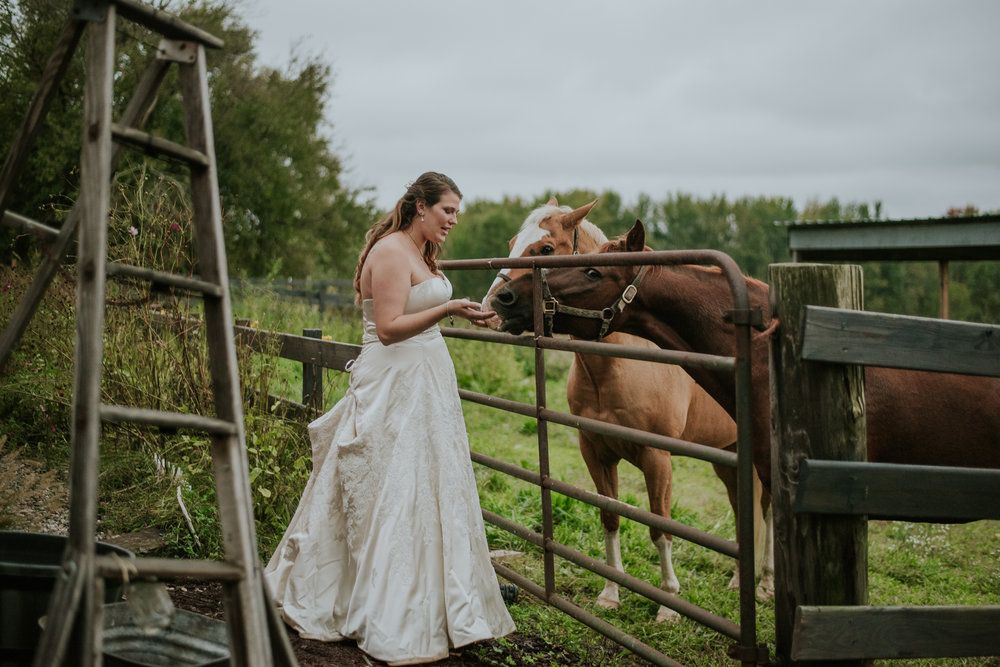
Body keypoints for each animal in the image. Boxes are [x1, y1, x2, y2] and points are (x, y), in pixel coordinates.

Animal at [482, 200, 772, 620]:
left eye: (546, 249)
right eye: (510, 243)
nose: (494, 306)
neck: (617, 366)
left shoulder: (657, 459)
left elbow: (661, 527)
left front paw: (668, 604)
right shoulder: (595, 452)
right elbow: (610, 515)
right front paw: (610, 593)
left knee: (766, 512)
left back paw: (765, 585)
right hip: (728, 457)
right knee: (741, 509)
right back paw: (738, 581)